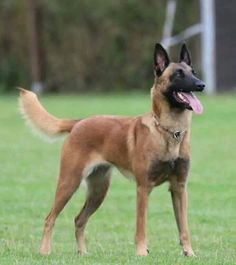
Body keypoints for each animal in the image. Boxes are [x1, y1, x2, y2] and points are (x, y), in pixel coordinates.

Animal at [18, 43, 205, 256]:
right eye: (178, 74)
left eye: (193, 72)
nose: (201, 85)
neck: (169, 132)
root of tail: (79, 122)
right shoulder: (143, 188)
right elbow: (141, 226)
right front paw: (142, 252)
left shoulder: (179, 188)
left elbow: (184, 227)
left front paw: (189, 253)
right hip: (69, 182)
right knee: (50, 218)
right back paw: (44, 251)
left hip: (99, 190)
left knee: (79, 219)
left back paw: (83, 253)